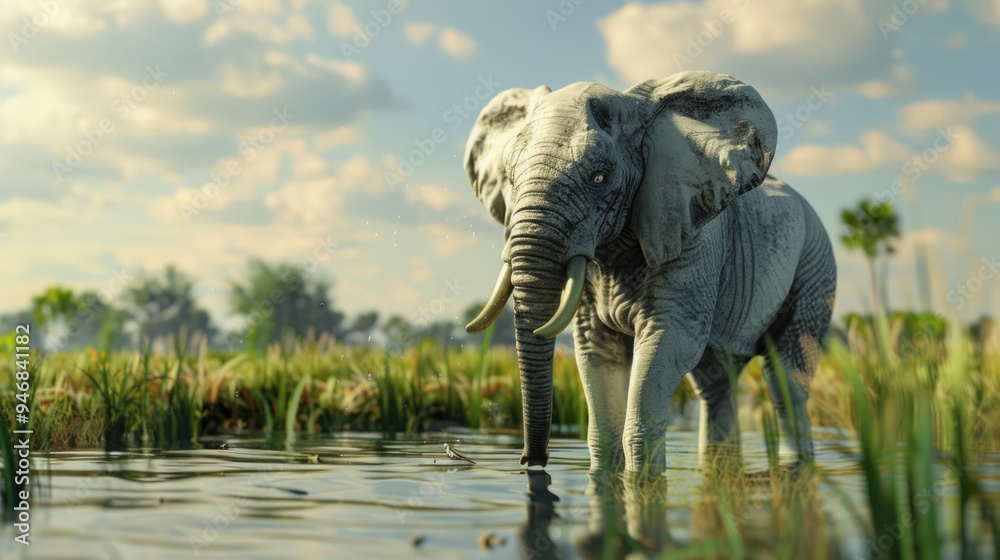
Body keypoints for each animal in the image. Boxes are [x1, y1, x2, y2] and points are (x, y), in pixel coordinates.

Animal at [462, 70, 837, 475]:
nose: (531, 463)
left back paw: (795, 468)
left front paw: (642, 479)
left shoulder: (692, 238)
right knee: (716, 383)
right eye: (510, 178)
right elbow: (596, 349)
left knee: (786, 380)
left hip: (815, 266)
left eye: (599, 178)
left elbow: (668, 339)